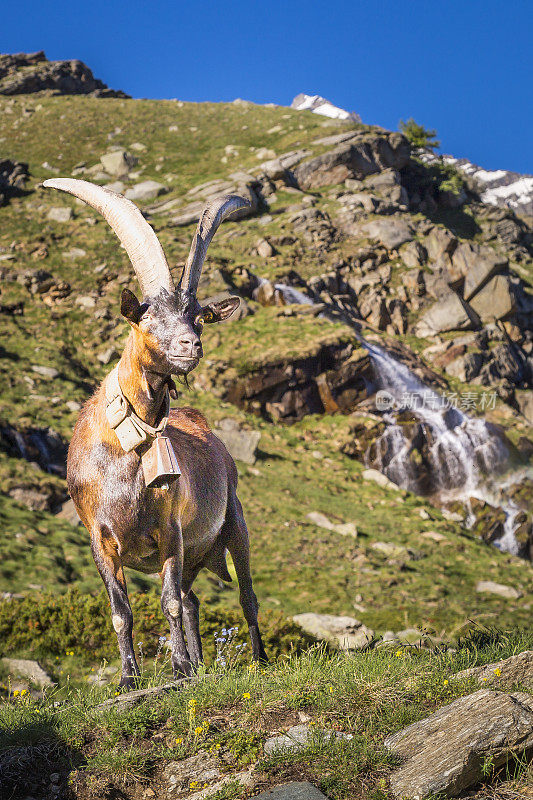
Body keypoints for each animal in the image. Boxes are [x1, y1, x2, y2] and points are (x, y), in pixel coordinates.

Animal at [42, 180, 266, 688]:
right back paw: (201, 663)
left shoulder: (170, 531)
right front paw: (130, 679)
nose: (191, 345)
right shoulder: (99, 537)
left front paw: (179, 669)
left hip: (234, 522)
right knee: (193, 599)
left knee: (243, 595)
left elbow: (167, 603)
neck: (125, 450)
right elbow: (121, 611)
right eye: (145, 317)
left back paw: (258, 661)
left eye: (198, 318)